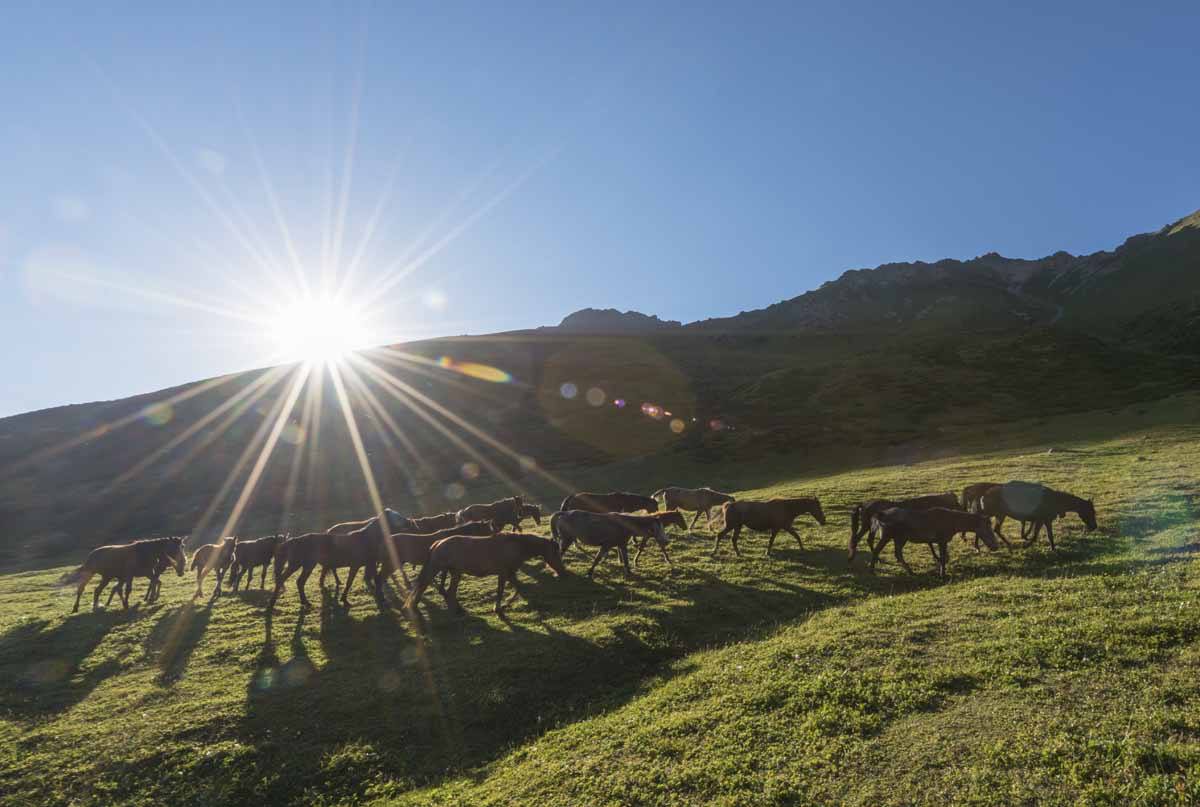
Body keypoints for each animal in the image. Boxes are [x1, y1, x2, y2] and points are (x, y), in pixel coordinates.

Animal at [403, 533, 566, 614]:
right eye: (556, 552)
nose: (562, 572)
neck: (516, 545)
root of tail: (438, 543)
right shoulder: (504, 573)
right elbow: (501, 591)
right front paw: (499, 607)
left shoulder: (510, 573)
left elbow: (518, 588)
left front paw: (505, 604)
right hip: (442, 571)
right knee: (429, 589)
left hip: (452, 572)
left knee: (445, 591)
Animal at [868, 506, 998, 576]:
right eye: (987, 528)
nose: (995, 546)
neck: (953, 522)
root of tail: (880, 515)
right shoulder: (941, 540)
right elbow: (943, 557)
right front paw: (942, 574)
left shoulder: (941, 541)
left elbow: (943, 557)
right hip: (888, 537)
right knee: (878, 551)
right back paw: (872, 571)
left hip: (899, 539)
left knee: (897, 554)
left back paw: (910, 572)